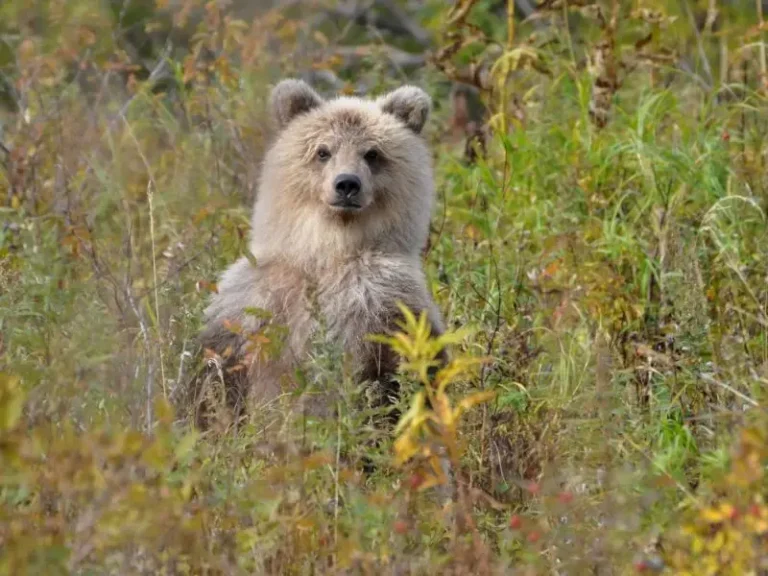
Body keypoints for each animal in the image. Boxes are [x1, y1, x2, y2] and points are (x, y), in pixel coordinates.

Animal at [184, 78, 447, 432]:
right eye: (323, 151)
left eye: (372, 153)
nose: (347, 184)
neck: (327, 250)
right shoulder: (249, 303)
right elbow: (216, 377)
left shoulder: (387, 301)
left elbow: (402, 374)